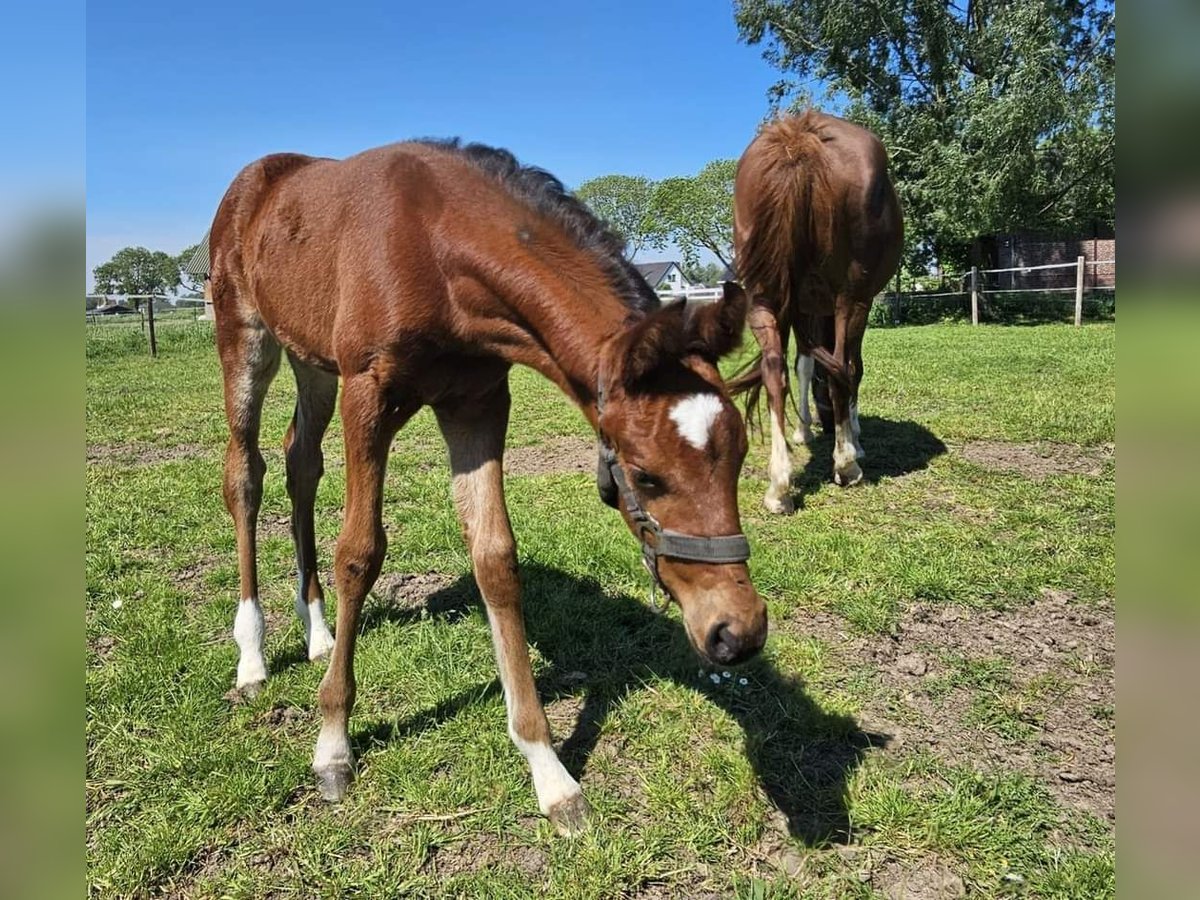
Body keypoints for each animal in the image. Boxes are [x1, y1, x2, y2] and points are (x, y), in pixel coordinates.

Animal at [210, 139, 763, 840]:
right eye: (644, 475)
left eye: (741, 454)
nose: (737, 632)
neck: (435, 248)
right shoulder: (369, 394)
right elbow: (359, 554)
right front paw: (333, 744)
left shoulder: (477, 402)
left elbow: (495, 557)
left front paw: (550, 772)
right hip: (245, 336)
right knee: (245, 473)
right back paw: (252, 655)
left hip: (312, 357)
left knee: (300, 460)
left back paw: (317, 632)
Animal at [729, 111, 902, 513]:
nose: (825, 422)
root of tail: (799, 137)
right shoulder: (847, 305)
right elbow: (849, 368)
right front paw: (852, 436)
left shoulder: (802, 308)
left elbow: (804, 365)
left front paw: (804, 429)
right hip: (852, 299)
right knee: (844, 366)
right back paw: (847, 464)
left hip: (764, 297)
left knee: (774, 370)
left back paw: (779, 487)